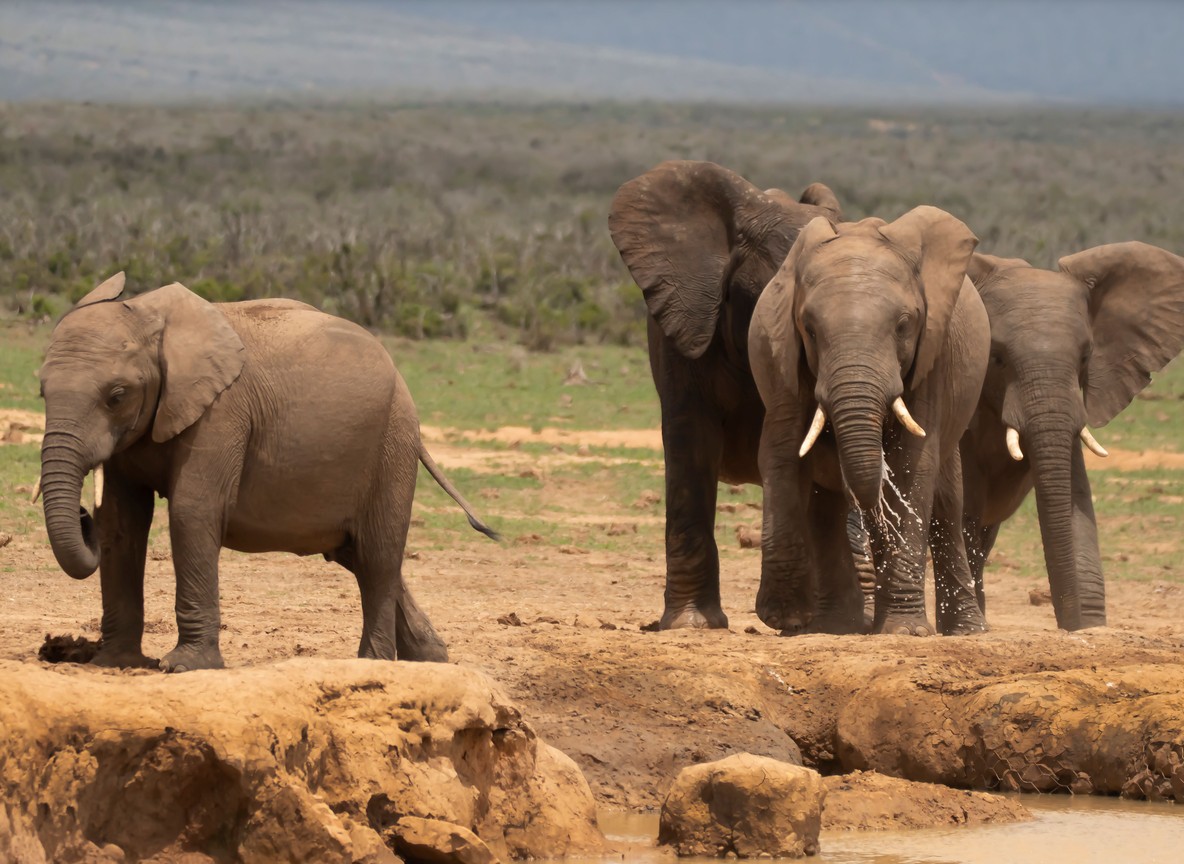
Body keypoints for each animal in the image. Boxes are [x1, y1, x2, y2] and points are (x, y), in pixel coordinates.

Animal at [37, 273, 497, 672]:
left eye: (117, 396)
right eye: (41, 391)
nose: (81, 514)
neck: (151, 317)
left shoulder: (222, 412)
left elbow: (192, 512)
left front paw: (183, 667)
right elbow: (121, 521)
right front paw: (113, 662)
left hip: (393, 442)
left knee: (379, 554)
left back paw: (373, 664)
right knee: (357, 555)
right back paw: (431, 659)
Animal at [748, 206, 989, 636]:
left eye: (904, 325)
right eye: (809, 329)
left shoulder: (932, 358)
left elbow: (911, 467)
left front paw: (905, 632)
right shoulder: (781, 359)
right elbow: (781, 452)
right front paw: (784, 616)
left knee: (947, 503)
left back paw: (966, 631)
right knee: (824, 507)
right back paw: (833, 626)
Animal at [961, 242, 1184, 631]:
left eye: (1085, 357)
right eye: (996, 357)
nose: (1070, 623)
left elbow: (1075, 495)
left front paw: (1090, 627)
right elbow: (962, 505)